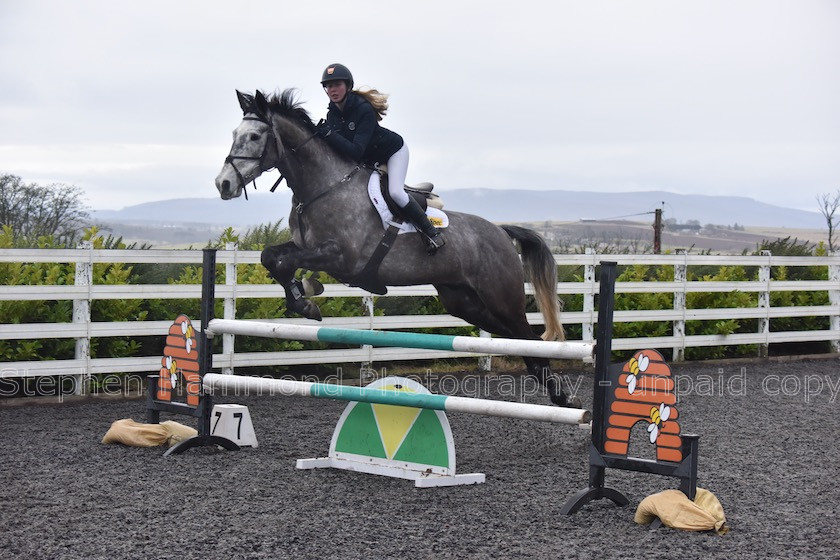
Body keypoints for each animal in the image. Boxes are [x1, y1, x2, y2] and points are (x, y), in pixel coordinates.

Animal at [213, 91, 576, 406]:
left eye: (255, 137)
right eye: (234, 134)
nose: (223, 184)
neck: (322, 187)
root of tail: (500, 231)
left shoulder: (341, 257)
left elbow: (284, 261)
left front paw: (305, 298)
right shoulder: (307, 248)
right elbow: (271, 257)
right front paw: (304, 296)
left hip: (502, 297)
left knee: (527, 336)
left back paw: (561, 396)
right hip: (464, 301)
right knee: (516, 339)